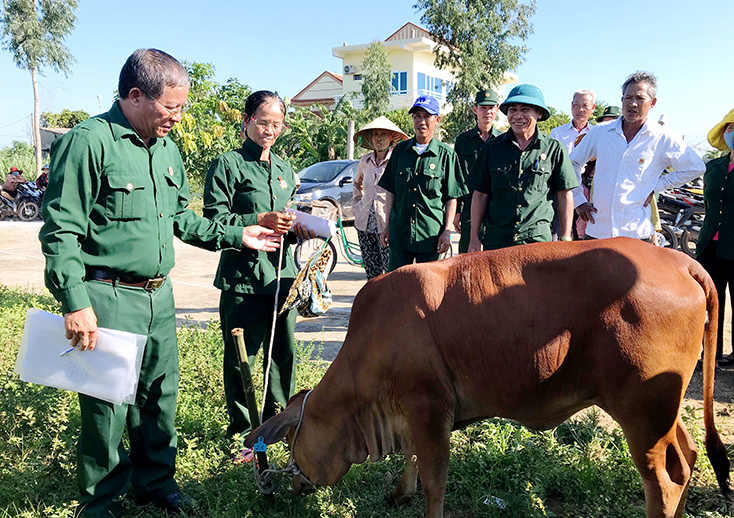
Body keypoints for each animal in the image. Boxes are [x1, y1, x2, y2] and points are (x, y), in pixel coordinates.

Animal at [247, 240, 732, 518]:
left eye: (289, 443)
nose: (292, 485)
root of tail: (677, 259)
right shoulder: (417, 414)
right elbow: (414, 459)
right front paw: (398, 493)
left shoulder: (428, 408)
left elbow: (435, 479)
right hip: (664, 407)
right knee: (687, 458)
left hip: (642, 411)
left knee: (664, 482)